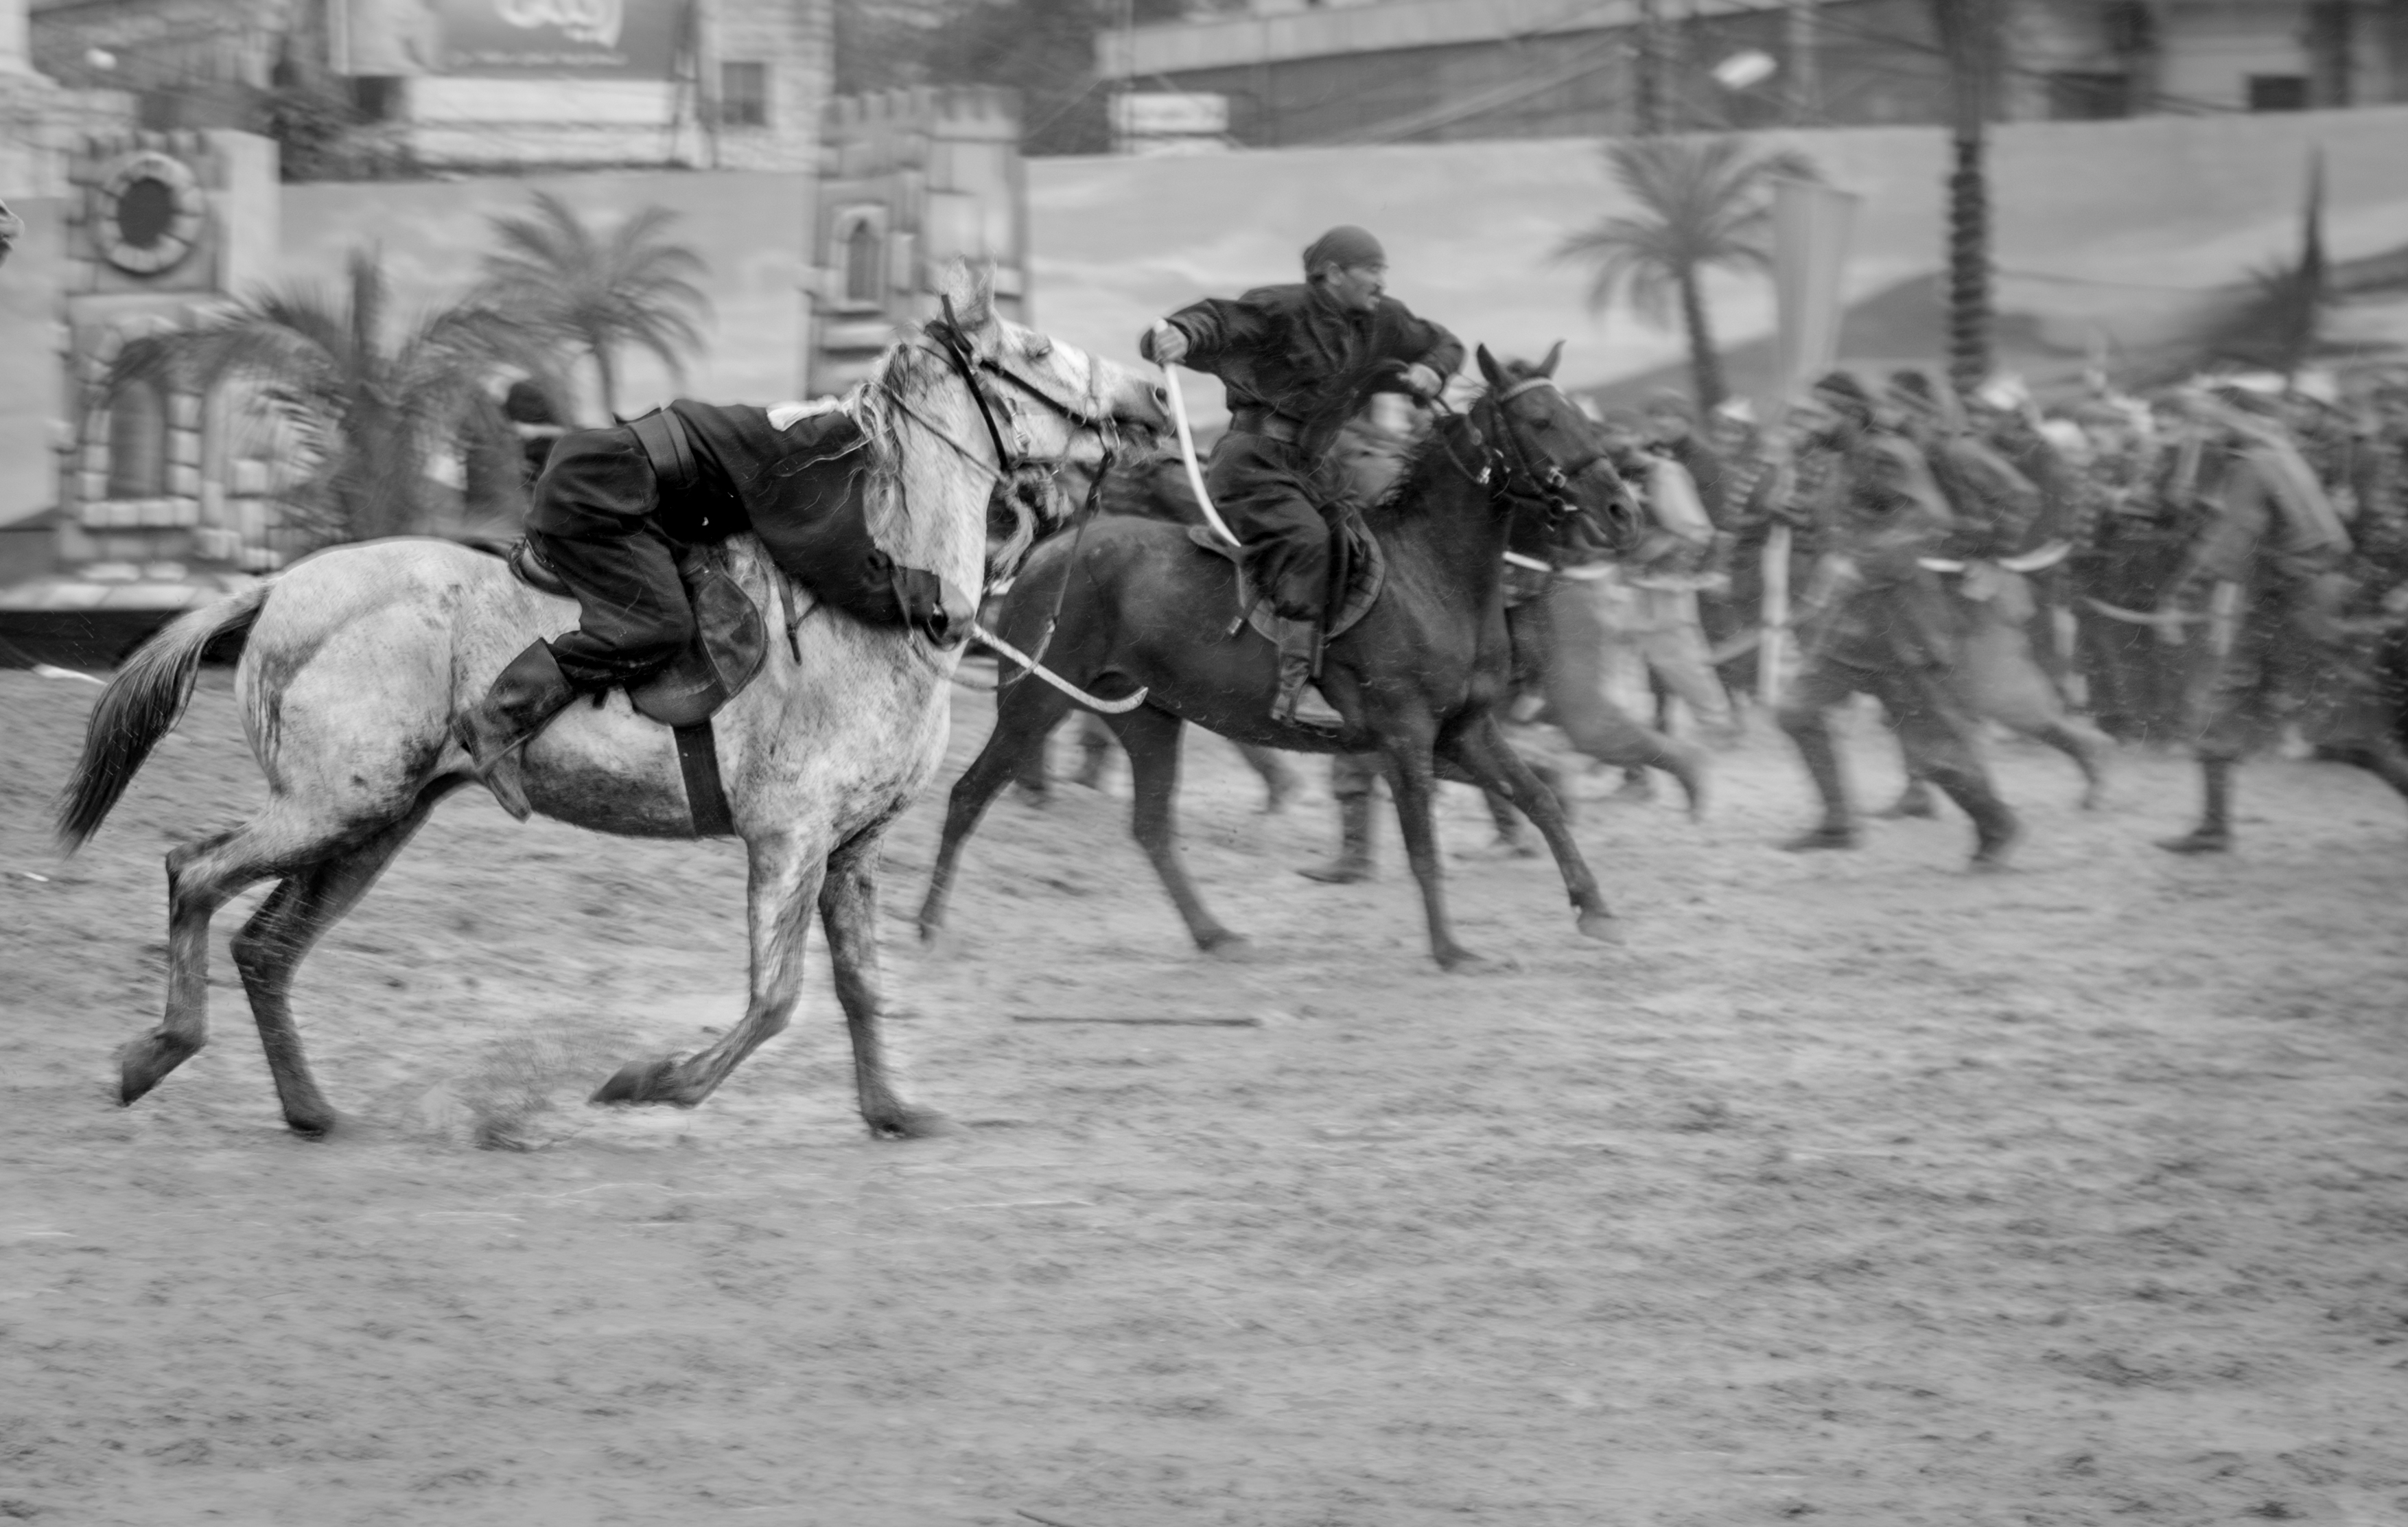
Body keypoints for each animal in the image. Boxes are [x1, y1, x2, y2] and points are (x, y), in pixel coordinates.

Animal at [56, 267, 1165, 1136]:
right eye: (1033, 348)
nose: (1155, 388)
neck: (877, 619)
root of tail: (279, 588)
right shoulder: (790, 834)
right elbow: (776, 998)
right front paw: (652, 1081)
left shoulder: (853, 847)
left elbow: (859, 985)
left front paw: (892, 1110)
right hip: (335, 803)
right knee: (194, 872)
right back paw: (159, 1051)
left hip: (376, 820)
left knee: (264, 944)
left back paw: (310, 1109)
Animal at [920, 347, 1637, 963]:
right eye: (1540, 421)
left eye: (1578, 417)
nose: (1621, 510)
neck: (1430, 575)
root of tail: (1047, 556)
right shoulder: (1406, 735)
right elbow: (1424, 844)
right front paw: (1449, 948)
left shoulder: (1465, 730)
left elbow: (1537, 797)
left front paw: (1596, 910)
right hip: (1035, 703)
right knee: (968, 794)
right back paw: (928, 922)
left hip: (1147, 720)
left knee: (1150, 828)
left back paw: (1213, 933)